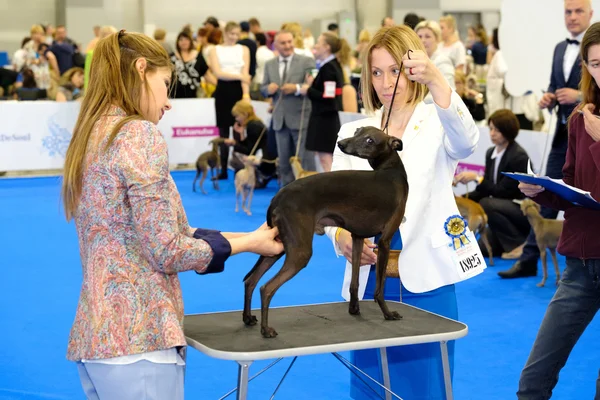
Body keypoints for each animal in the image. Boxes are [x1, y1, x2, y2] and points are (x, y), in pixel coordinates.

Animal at [241, 126, 410, 338]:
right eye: (357, 131)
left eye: (369, 139)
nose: (341, 143)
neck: (391, 170)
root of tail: (277, 197)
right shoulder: (385, 241)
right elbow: (379, 289)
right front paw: (388, 314)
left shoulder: (357, 238)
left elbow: (354, 282)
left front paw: (354, 309)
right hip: (299, 251)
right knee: (266, 288)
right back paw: (266, 330)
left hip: (276, 245)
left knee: (250, 280)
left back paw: (248, 318)